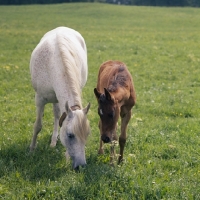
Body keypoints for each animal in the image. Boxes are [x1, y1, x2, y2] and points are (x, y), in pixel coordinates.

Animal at [29, 26, 90, 170]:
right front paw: (32, 149)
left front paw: (67, 157)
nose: (81, 166)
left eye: (87, 134)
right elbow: (37, 125)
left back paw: (53, 140)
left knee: (57, 116)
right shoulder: (39, 99)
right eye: (70, 135)